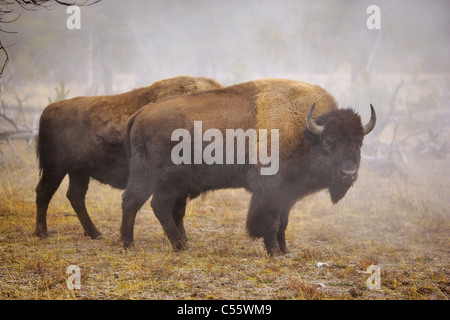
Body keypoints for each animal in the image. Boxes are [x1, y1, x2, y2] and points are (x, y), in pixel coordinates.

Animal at [35, 75, 221, 238]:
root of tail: (48, 110)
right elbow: (177, 211)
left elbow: (178, 211)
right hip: (56, 168)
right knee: (43, 192)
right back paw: (42, 233)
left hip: (79, 171)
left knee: (75, 196)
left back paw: (95, 233)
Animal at [120, 79, 376, 258]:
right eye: (327, 142)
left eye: (359, 143)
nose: (348, 174)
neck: (304, 132)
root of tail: (140, 114)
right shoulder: (270, 191)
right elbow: (270, 222)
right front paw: (275, 253)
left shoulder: (288, 194)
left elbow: (283, 223)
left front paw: (286, 251)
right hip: (148, 176)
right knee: (133, 201)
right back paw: (128, 245)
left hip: (173, 183)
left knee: (164, 207)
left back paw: (182, 245)